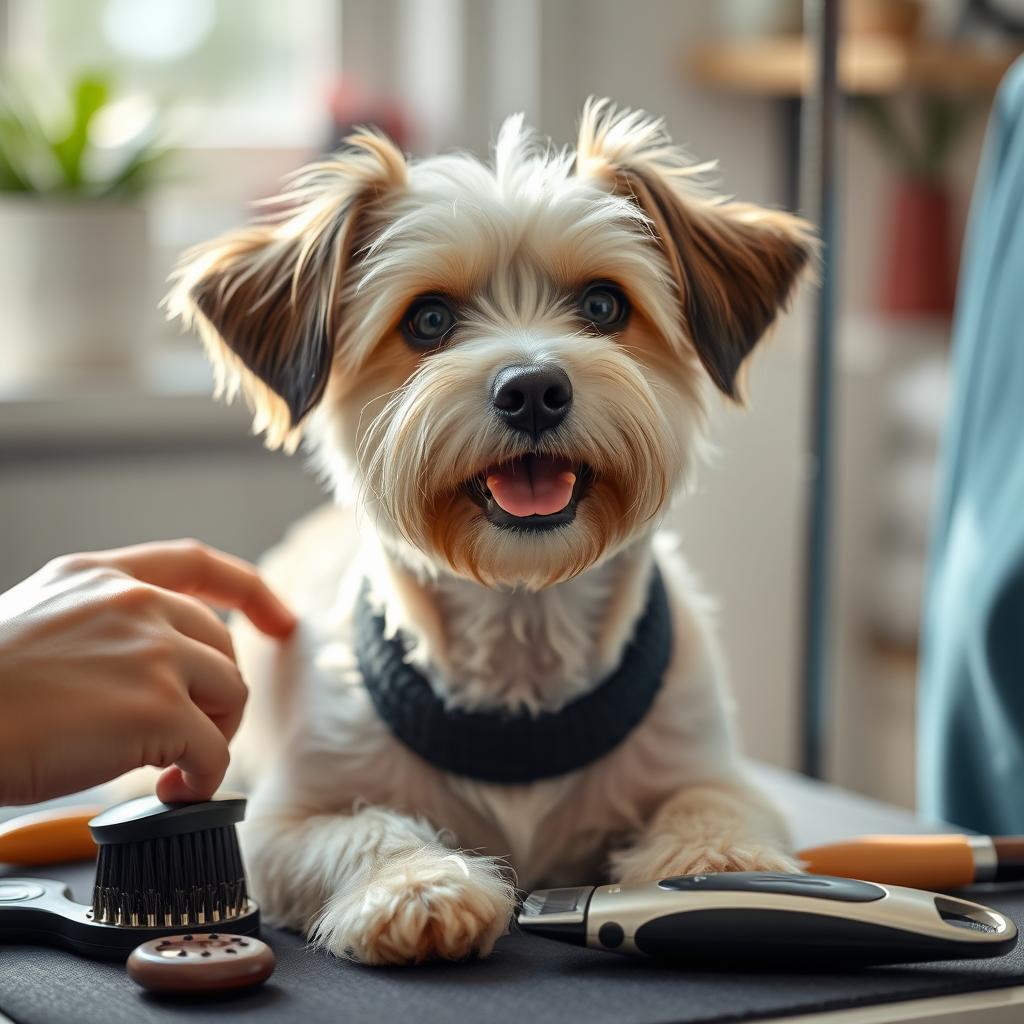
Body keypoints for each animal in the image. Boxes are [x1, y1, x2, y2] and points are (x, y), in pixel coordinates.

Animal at [165, 101, 815, 966]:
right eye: (429, 318)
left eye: (604, 306)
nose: (533, 388)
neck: (522, 621)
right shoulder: (283, 820)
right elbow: (361, 829)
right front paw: (416, 885)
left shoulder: (714, 767)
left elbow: (710, 807)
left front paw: (725, 869)